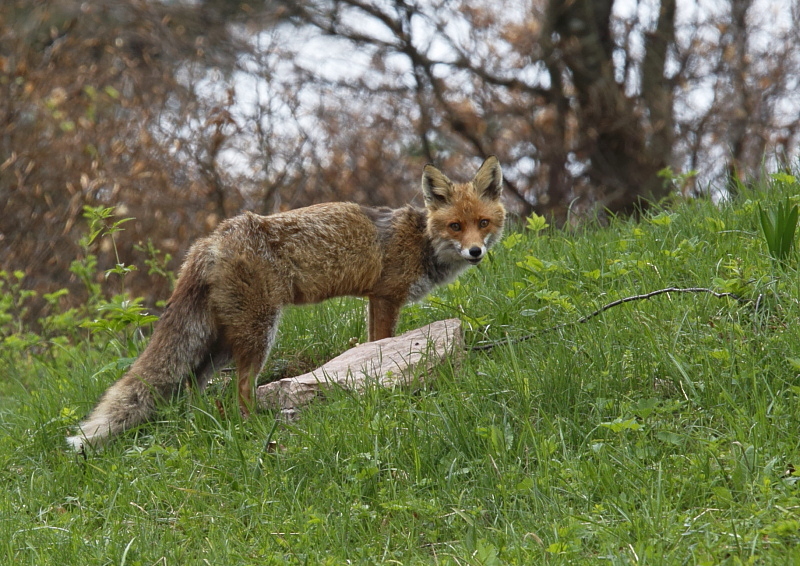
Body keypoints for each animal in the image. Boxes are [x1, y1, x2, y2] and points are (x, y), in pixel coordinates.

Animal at [69, 155, 506, 452]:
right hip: (259, 333)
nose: (476, 252)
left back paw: (206, 426)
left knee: (192, 389)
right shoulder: (386, 296)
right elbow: (380, 343)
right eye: (455, 226)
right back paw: (253, 429)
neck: (422, 241)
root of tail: (211, 239)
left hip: (220, 344)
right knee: (241, 390)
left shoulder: (375, 299)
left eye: (483, 223)